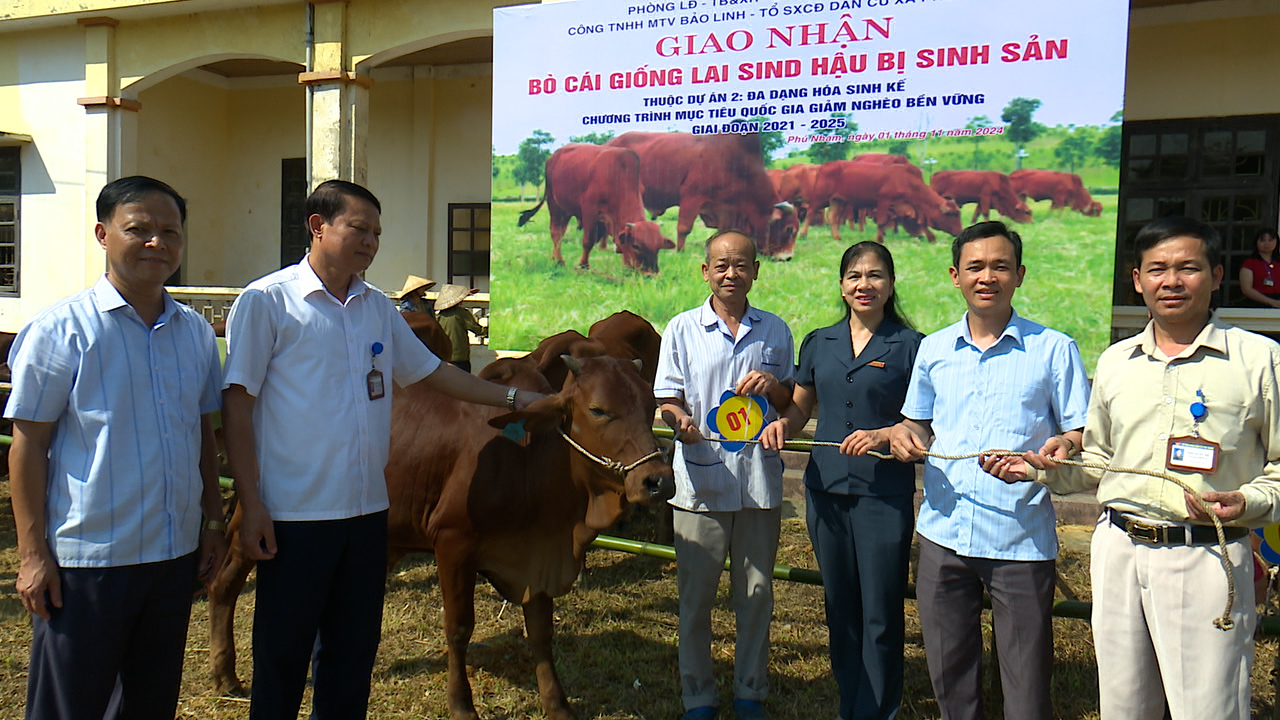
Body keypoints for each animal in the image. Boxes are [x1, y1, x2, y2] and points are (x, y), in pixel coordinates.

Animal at [519, 142, 680, 274]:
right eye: (636, 246)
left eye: (658, 246)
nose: (651, 274)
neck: (618, 175)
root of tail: (553, 156)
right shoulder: (589, 209)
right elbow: (588, 240)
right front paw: (583, 266)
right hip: (555, 205)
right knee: (556, 232)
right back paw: (558, 261)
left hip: (566, 209)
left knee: (561, 231)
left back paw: (555, 259)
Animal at [604, 131, 793, 257]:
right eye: (789, 229)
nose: (787, 257)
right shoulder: (692, 196)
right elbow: (684, 228)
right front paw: (679, 251)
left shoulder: (725, 209)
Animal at [798, 161, 962, 242]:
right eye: (953, 214)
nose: (960, 232)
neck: (909, 181)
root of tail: (824, 165)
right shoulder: (884, 201)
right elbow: (882, 221)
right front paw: (879, 238)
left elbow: (920, 223)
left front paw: (930, 237)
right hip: (821, 198)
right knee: (810, 212)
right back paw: (803, 234)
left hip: (837, 200)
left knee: (833, 217)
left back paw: (837, 237)